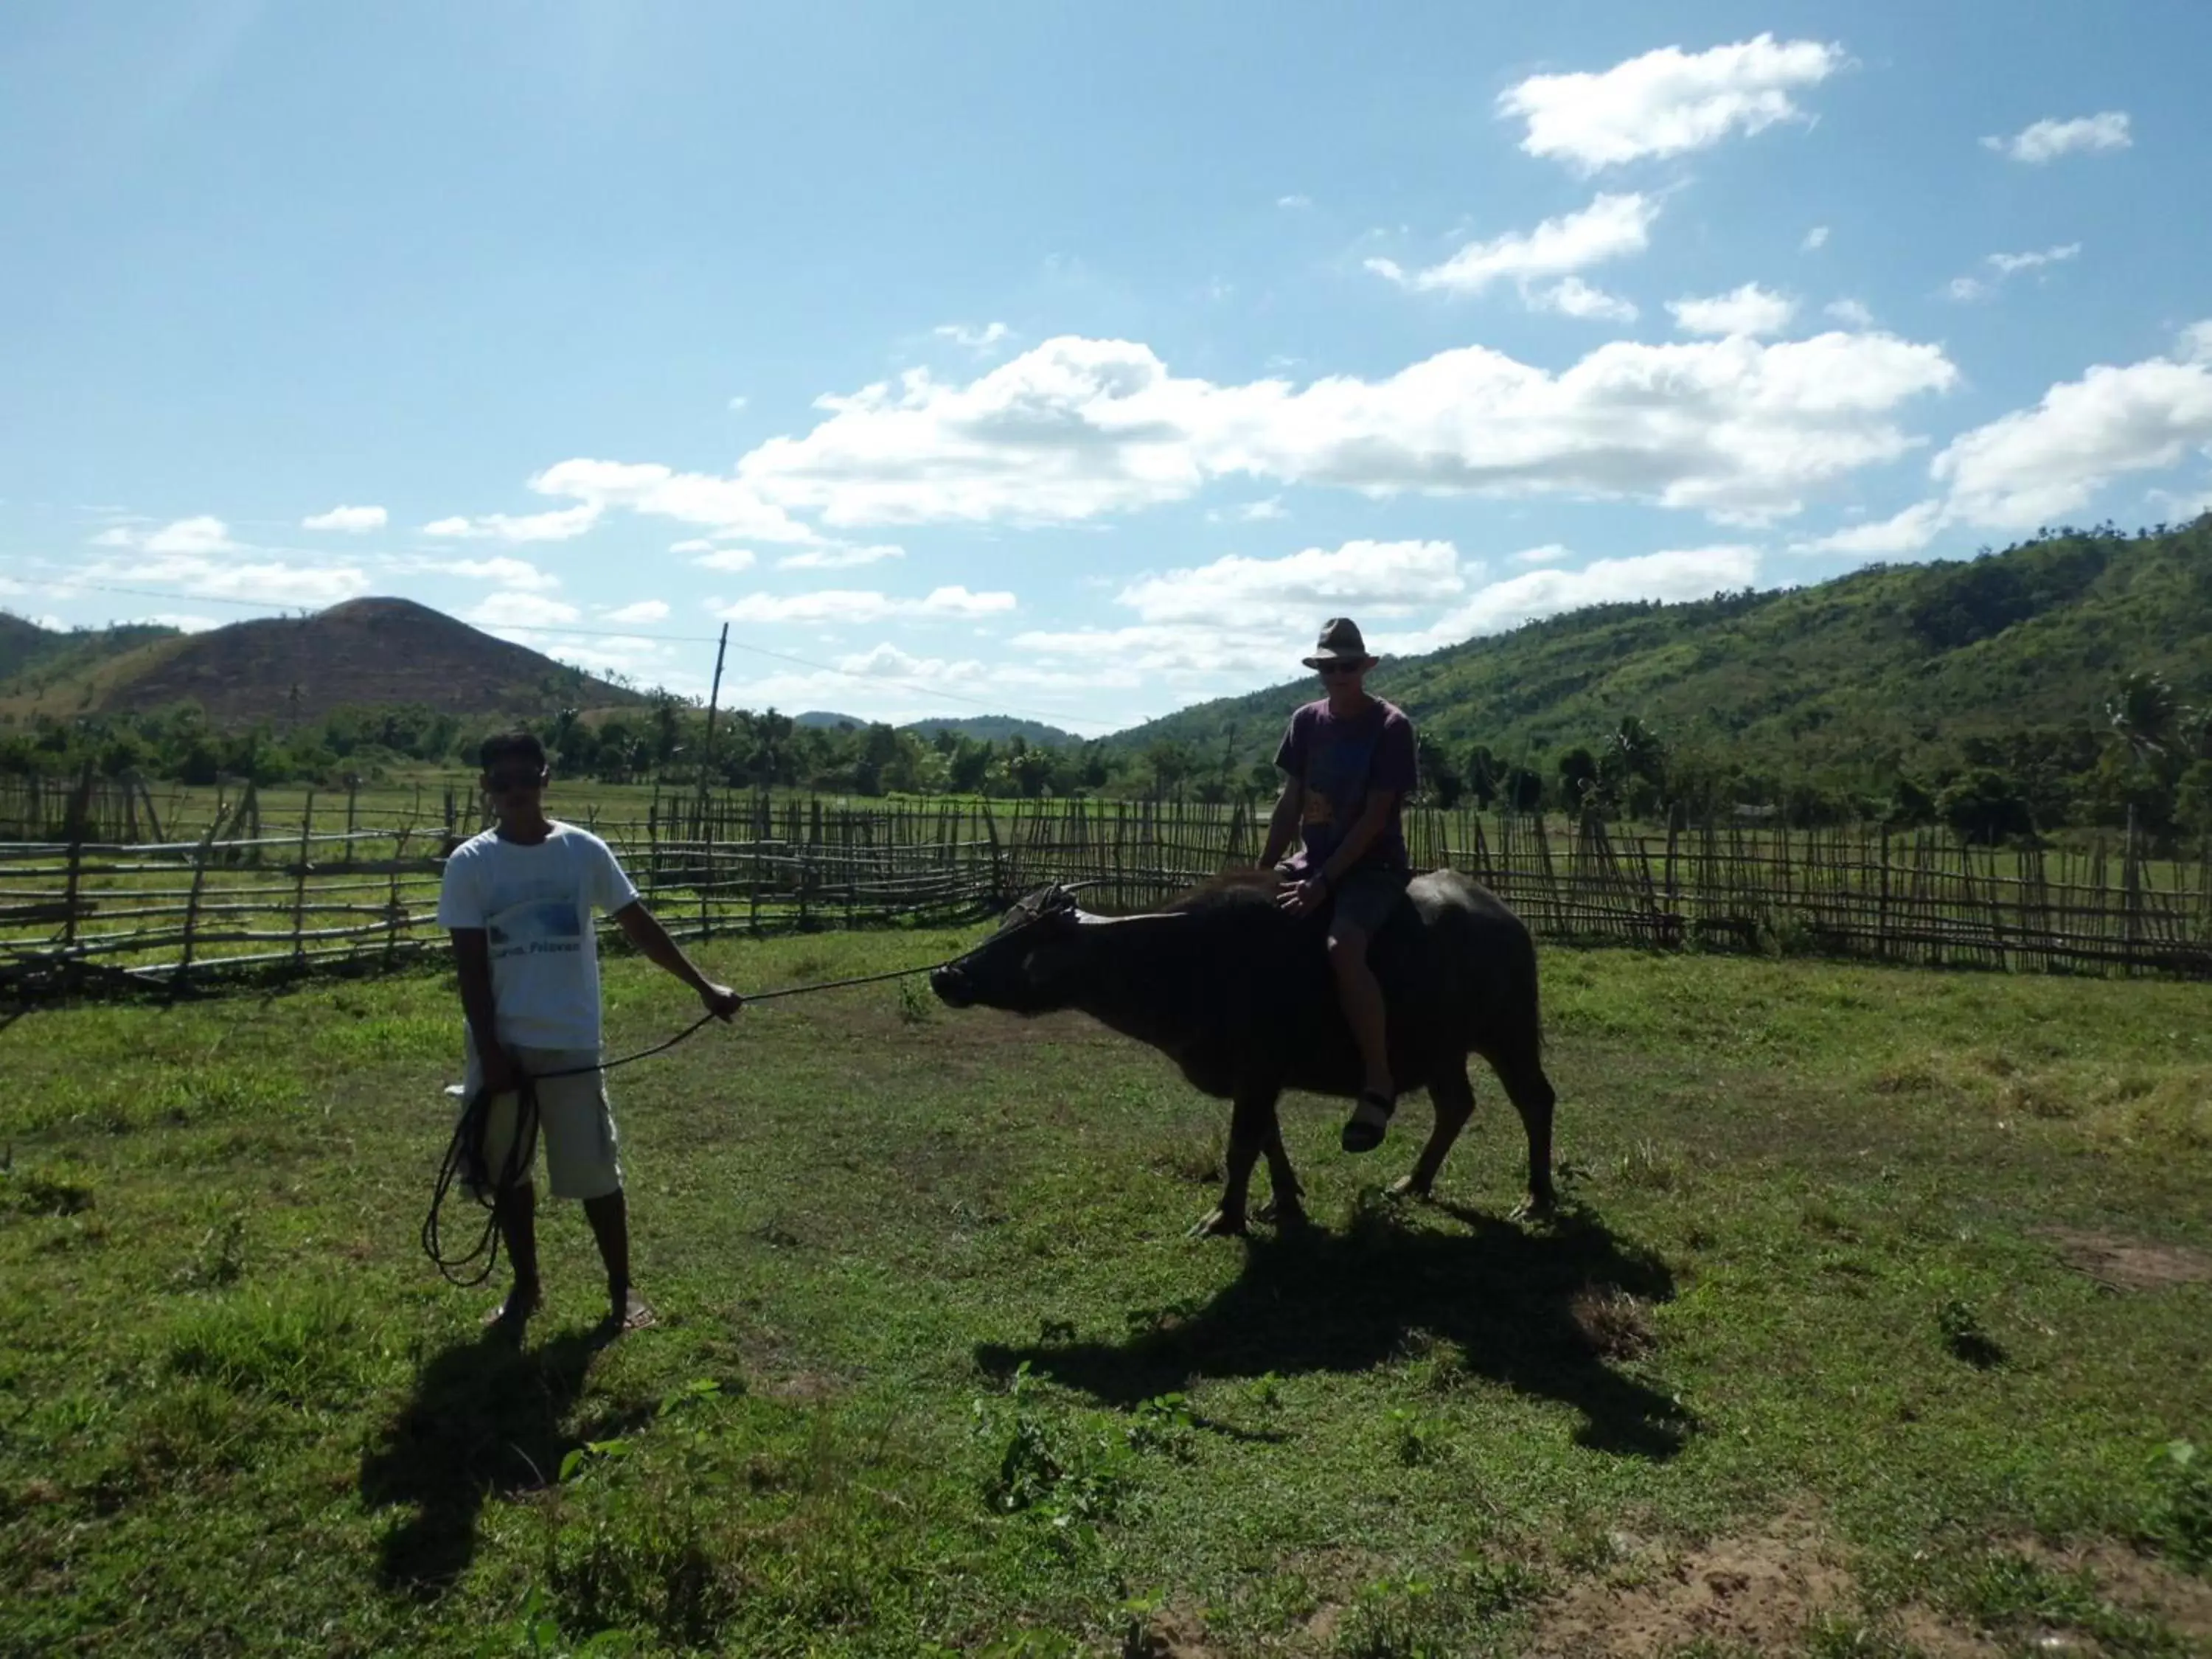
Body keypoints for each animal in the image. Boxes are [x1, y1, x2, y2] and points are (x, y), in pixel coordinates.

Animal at [933, 872, 1557, 1239]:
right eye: (1003, 924)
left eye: (1026, 937)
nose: (947, 975)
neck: (1183, 958)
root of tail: (1507, 918)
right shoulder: (1256, 1078)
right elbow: (1267, 1143)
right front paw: (1284, 1202)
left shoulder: (1257, 1072)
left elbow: (1240, 1148)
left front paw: (1223, 1216)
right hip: (1443, 1048)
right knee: (1456, 1105)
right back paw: (1413, 1182)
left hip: (1508, 1031)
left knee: (1536, 1101)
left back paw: (1536, 1199)